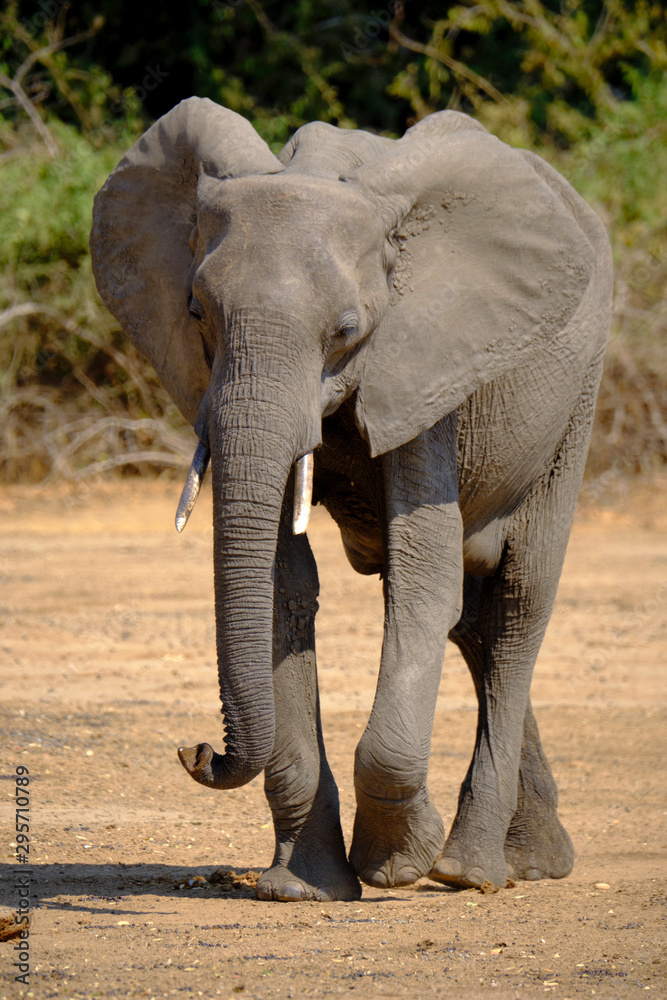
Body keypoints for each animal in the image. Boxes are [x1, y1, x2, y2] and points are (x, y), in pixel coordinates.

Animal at [90, 97, 612, 902]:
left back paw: (471, 872)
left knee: (519, 600)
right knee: (474, 623)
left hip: (575, 398)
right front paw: (301, 888)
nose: (196, 749)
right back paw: (534, 860)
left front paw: (394, 863)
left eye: (345, 330)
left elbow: (421, 580)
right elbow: (283, 584)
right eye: (196, 312)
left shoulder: (425, 359)